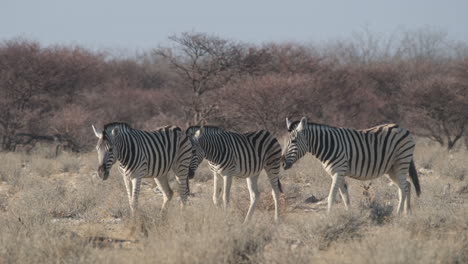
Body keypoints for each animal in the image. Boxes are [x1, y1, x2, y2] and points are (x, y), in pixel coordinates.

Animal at [282, 117, 420, 214]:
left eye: (293, 141)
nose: (282, 163)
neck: (328, 144)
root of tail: (403, 128)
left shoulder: (338, 171)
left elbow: (331, 196)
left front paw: (328, 217)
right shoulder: (339, 173)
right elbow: (345, 197)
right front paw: (349, 215)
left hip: (401, 162)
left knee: (404, 188)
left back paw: (398, 214)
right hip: (391, 169)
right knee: (407, 185)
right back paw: (407, 213)